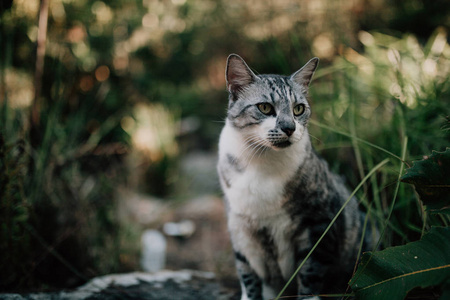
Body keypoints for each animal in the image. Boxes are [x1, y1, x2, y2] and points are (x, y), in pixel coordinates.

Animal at [216, 54, 374, 300]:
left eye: (298, 109)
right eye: (265, 107)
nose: (289, 127)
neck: (261, 163)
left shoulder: (319, 223)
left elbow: (311, 272)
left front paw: (308, 295)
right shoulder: (240, 229)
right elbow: (248, 275)